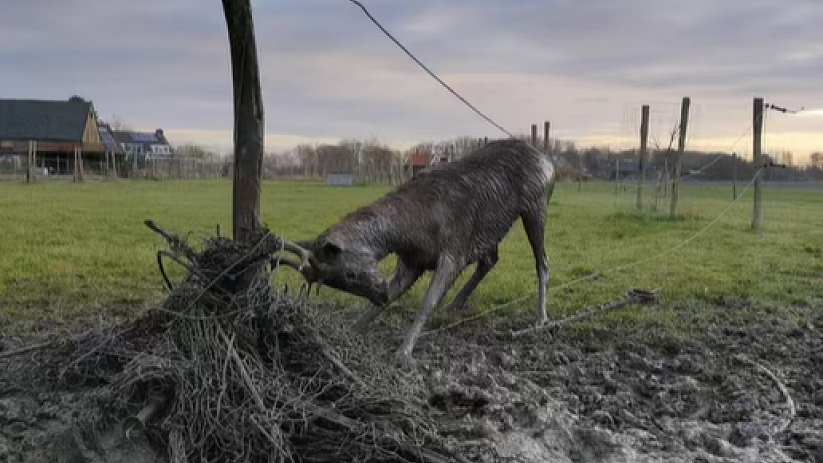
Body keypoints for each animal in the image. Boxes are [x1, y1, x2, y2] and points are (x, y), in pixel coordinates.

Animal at [278, 138, 560, 358]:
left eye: (350, 274)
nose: (379, 294)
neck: (410, 231)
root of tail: (547, 162)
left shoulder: (454, 251)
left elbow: (428, 301)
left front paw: (403, 352)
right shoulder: (413, 262)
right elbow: (396, 295)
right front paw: (349, 330)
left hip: (535, 206)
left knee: (543, 261)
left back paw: (541, 319)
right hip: (491, 228)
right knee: (490, 259)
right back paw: (455, 304)